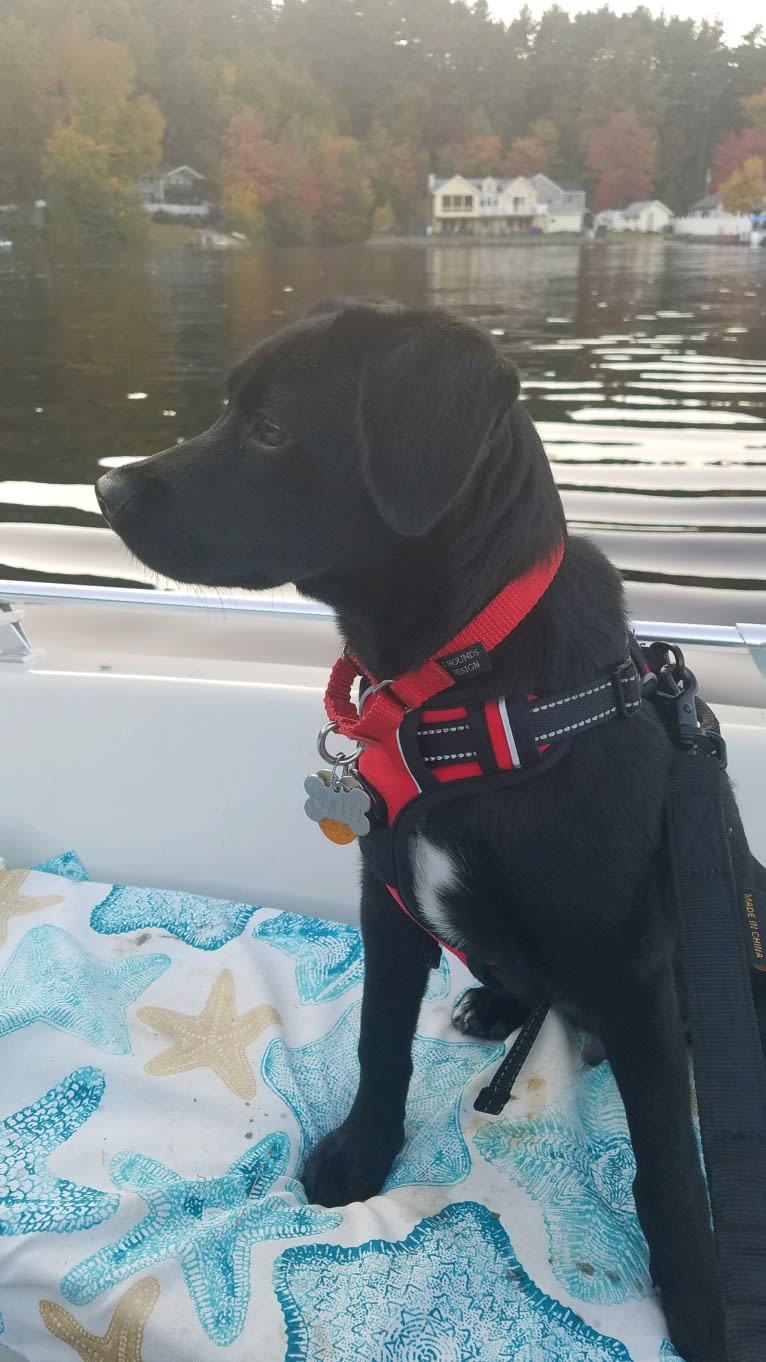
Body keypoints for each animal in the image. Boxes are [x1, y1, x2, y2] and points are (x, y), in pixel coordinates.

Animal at [96, 301, 763, 1362]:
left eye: (272, 429)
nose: (107, 488)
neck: (463, 690)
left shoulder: (635, 973)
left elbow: (670, 1164)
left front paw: (705, 1304)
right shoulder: (388, 903)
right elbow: (380, 1043)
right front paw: (360, 1156)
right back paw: (496, 1006)